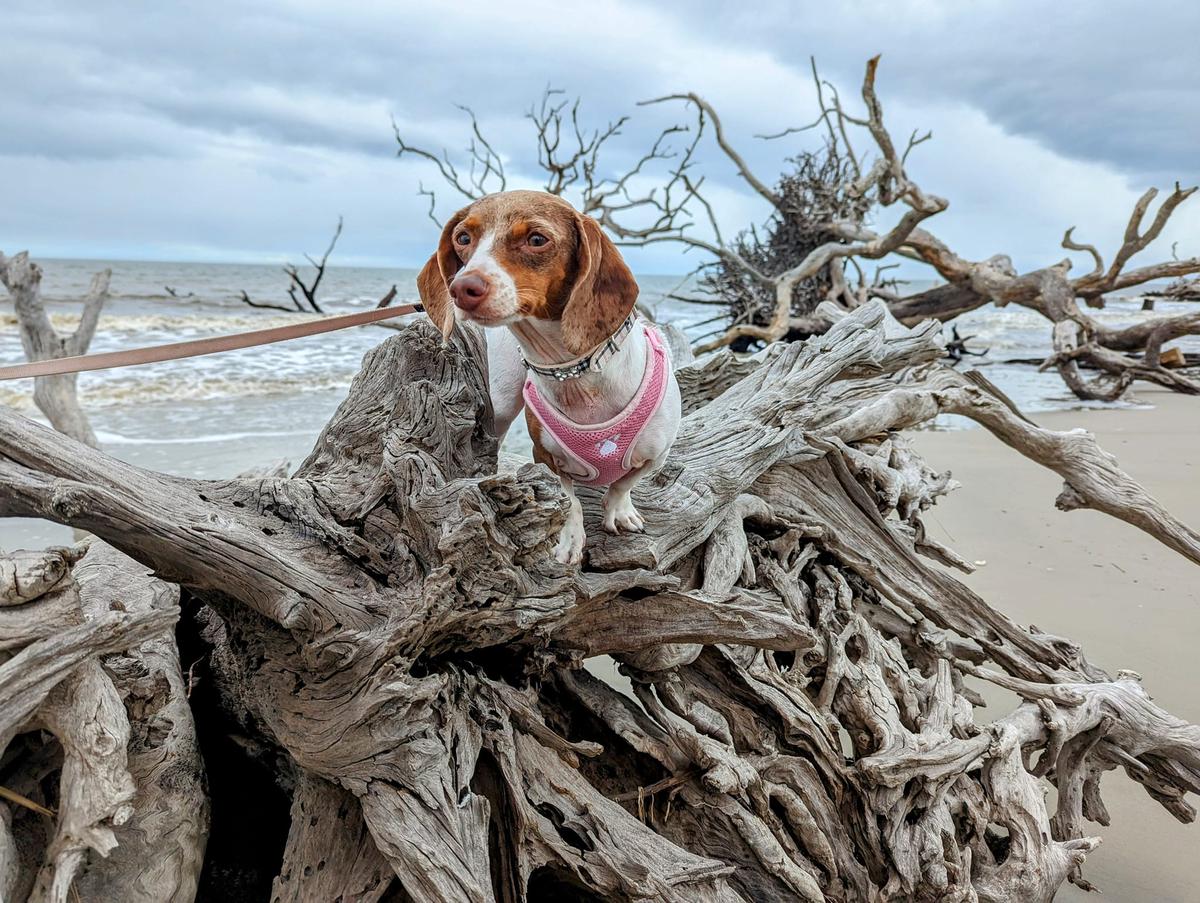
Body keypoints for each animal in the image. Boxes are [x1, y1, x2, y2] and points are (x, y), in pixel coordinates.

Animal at [417, 190, 681, 564]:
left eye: (537, 239)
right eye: (463, 238)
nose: (461, 288)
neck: (576, 373)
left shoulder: (657, 455)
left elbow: (623, 483)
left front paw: (618, 510)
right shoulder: (544, 456)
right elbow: (569, 500)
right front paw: (570, 538)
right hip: (501, 404)